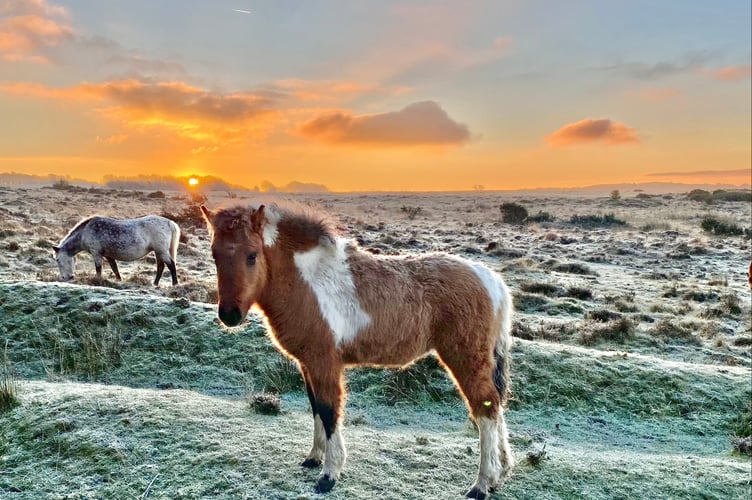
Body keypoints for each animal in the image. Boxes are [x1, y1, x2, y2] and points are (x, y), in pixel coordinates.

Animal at [200, 202, 516, 496]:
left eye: (252, 255)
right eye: (215, 255)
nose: (229, 315)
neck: (308, 282)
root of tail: (490, 278)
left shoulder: (324, 363)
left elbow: (329, 412)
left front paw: (329, 475)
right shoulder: (307, 364)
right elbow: (315, 408)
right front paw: (314, 458)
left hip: (466, 359)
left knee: (486, 410)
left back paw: (481, 485)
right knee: (497, 407)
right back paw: (500, 475)